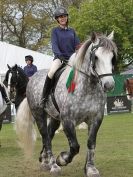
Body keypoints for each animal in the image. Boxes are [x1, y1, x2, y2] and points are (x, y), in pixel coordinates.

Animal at [15, 31, 117, 177]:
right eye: (96, 57)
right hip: (39, 115)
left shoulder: (95, 119)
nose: (109, 85)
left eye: (112, 57)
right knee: (46, 138)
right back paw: (53, 165)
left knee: (49, 135)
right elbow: (74, 146)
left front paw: (90, 168)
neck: (86, 87)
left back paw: (44, 161)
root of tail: (32, 78)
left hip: (54, 118)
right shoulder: (68, 120)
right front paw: (62, 159)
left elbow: (91, 143)